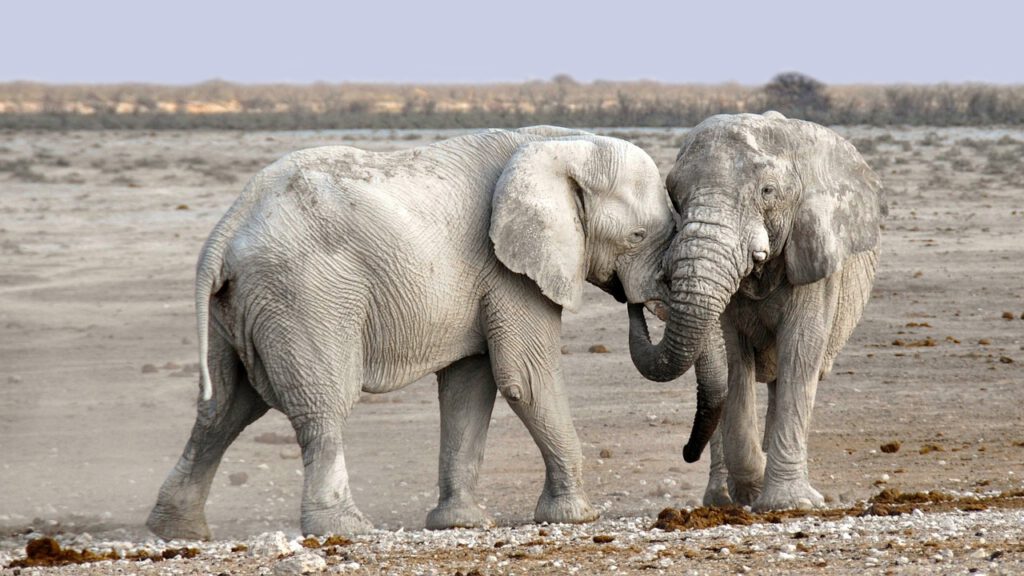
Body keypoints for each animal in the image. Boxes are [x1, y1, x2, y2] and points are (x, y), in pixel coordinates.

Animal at [146, 126, 677, 540]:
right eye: (637, 237)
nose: (635, 302)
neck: (562, 144)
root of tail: (227, 227)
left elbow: (469, 387)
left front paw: (460, 524)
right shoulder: (509, 270)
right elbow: (525, 379)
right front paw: (577, 516)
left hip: (239, 306)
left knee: (224, 408)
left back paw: (177, 531)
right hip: (304, 295)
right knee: (322, 405)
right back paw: (346, 529)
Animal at [628, 112, 885, 511]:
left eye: (767, 192)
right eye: (675, 196)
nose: (637, 302)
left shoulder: (814, 255)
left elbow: (801, 351)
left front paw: (789, 504)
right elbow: (733, 360)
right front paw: (754, 489)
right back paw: (721, 500)